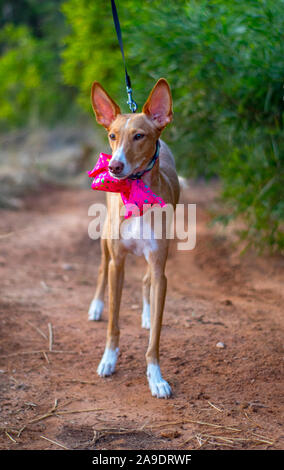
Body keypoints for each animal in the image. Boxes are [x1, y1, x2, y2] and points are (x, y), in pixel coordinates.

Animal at [87, 79, 180, 398]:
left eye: (139, 136)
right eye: (112, 136)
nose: (114, 167)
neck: (137, 192)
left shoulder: (160, 266)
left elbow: (155, 339)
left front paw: (156, 378)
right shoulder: (118, 263)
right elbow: (114, 325)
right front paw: (108, 360)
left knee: (147, 281)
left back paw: (147, 314)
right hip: (105, 242)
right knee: (100, 271)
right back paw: (96, 307)